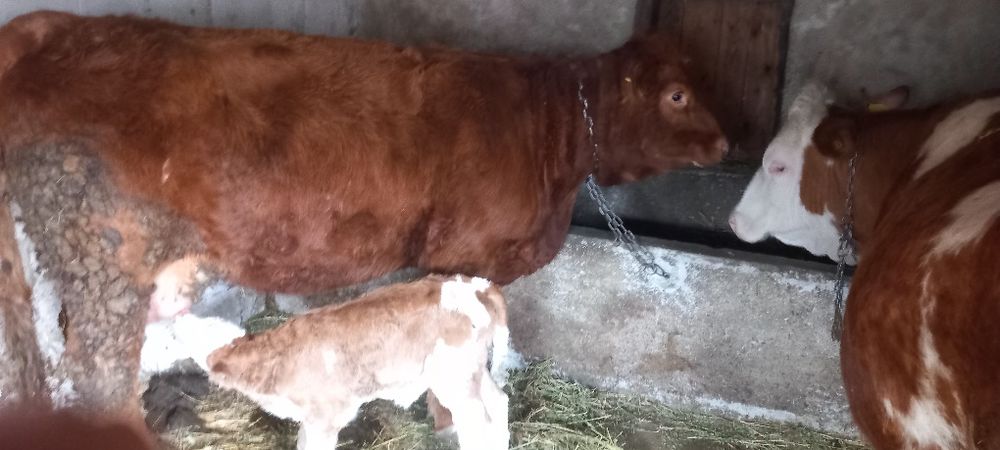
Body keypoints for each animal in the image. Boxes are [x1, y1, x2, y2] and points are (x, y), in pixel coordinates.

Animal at [0, 9, 726, 417]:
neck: (545, 131)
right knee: (99, 380)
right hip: (104, 266)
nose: (726, 143)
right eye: (677, 94)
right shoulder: (465, 255)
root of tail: (50, 26)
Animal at [205, 275, 511, 450]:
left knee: (477, 422)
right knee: (498, 402)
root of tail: (479, 286)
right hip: (471, 371)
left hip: (454, 380)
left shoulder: (325, 419)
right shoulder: (310, 420)